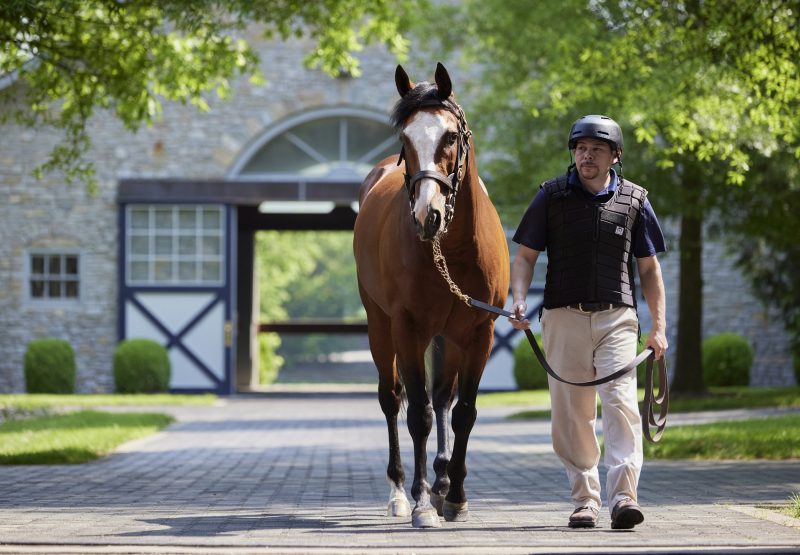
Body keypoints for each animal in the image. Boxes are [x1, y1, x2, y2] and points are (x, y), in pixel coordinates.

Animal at [354, 63, 510, 528]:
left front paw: (454, 495)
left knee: (443, 397)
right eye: (404, 140)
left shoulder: (479, 331)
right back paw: (400, 492)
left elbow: (463, 411)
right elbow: (418, 415)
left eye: (451, 136)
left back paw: (441, 483)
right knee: (393, 400)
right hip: (381, 326)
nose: (429, 215)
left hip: (449, 337)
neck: (453, 250)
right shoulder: (408, 328)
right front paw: (422, 503)